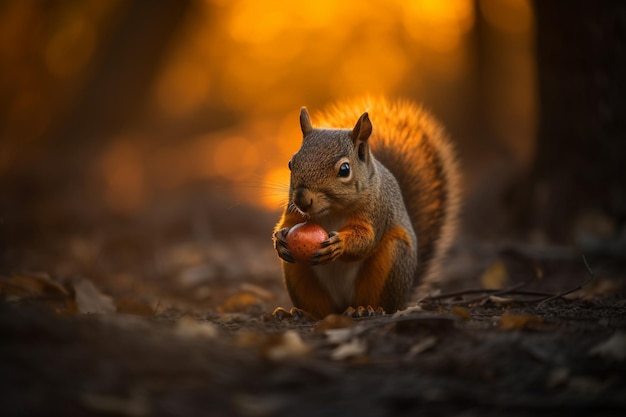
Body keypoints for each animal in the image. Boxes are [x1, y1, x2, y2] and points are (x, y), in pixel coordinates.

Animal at [272, 97, 458, 318]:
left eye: (345, 169)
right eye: (291, 163)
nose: (302, 199)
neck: (332, 210)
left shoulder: (375, 210)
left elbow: (366, 238)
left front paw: (340, 243)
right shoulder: (293, 210)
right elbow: (289, 222)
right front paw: (280, 239)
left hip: (391, 261)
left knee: (380, 303)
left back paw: (366, 309)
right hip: (299, 274)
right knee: (322, 310)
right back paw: (299, 313)